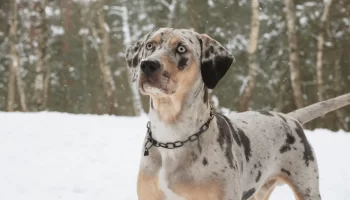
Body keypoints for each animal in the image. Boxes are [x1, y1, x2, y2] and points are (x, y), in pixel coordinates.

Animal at [124, 28, 348, 200]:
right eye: (150, 46)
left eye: (181, 48)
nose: (148, 64)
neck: (172, 135)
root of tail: (290, 118)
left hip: (306, 186)